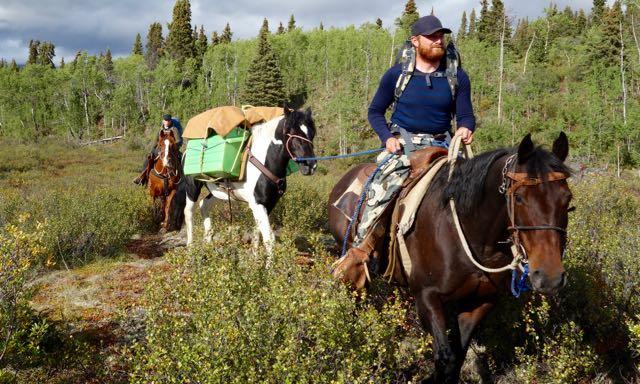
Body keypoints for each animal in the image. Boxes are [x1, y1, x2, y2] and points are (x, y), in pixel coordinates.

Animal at [328, 134, 572, 382]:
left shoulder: (480, 302)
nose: (550, 277)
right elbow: (445, 359)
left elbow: (457, 358)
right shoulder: (427, 297)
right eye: (519, 197)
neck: (473, 237)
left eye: (567, 198)